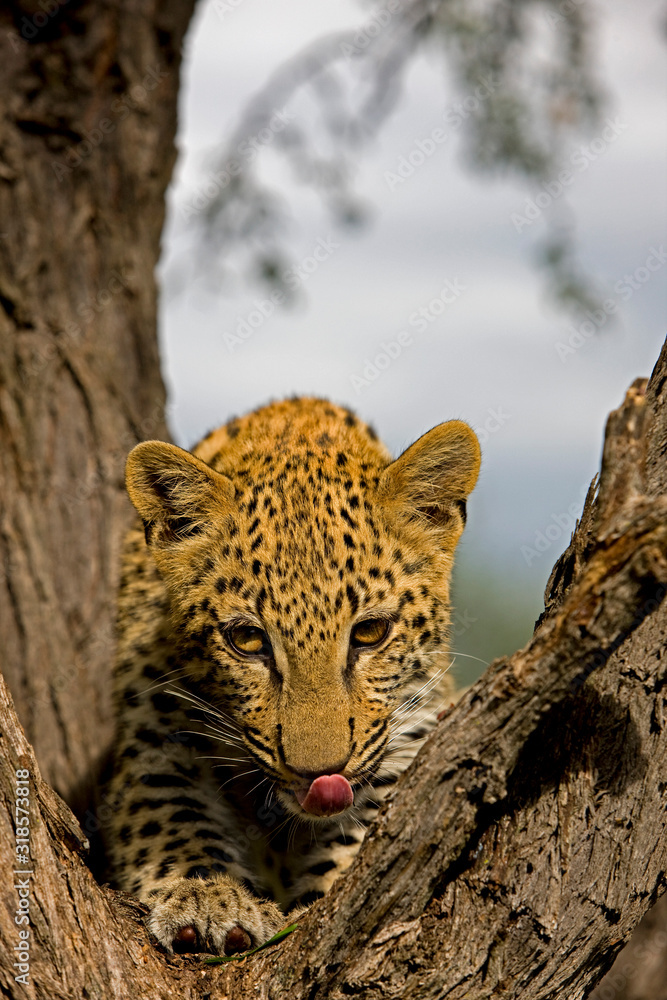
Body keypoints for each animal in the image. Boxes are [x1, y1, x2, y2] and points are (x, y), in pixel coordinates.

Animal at [105, 395, 480, 956]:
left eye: (370, 632)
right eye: (247, 639)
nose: (319, 775)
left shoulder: (411, 728)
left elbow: (370, 830)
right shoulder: (155, 729)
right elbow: (169, 810)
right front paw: (207, 898)